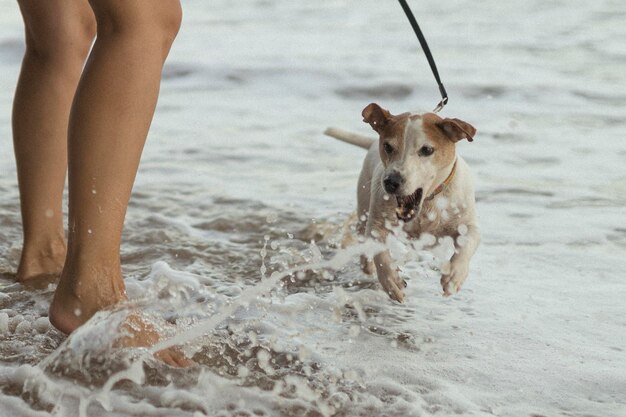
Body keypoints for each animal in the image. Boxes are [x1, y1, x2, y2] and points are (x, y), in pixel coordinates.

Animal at [324, 102, 480, 300]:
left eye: (427, 150)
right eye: (388, 146)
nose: (391, 181)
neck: (427, 204)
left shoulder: (468, 225)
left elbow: (467, 243)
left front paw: (453, 276)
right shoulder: (377, 225)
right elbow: (381, 255)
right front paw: (391, 282)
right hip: (363, 207)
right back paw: (368, 266)